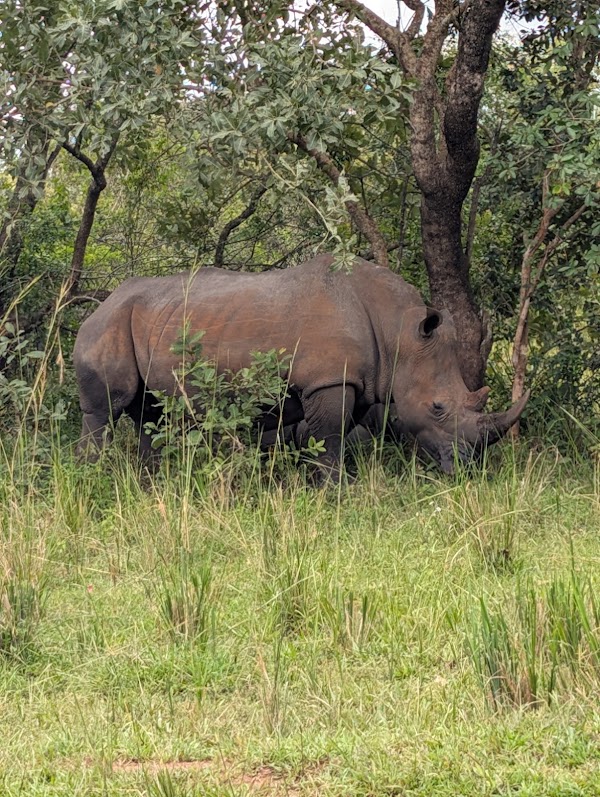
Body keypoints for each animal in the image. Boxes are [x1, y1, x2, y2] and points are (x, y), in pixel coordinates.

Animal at [74, 254, 528, 478]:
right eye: (437, 408)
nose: (468, 468)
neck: (399, 331)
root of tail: (99, 304)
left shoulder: (355, 381)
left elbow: (332, 438)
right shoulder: (328, 380)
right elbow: (330, 439)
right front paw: (336, 493)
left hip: (145, 320)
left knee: (151, 415)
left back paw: (150, 485)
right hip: (107, 325)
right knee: (107, 409)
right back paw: (93, 479)